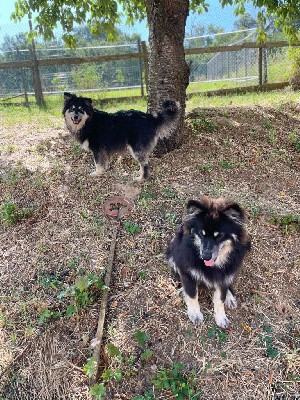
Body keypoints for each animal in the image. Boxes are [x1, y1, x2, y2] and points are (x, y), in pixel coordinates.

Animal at [166, 196, 251, 328]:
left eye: (219, 236)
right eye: (202, 234)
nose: (205, 256)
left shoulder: (223, 277)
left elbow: (220, 298)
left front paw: (221, 317)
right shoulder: (187, 273)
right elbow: (192, 294)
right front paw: (195, 314)